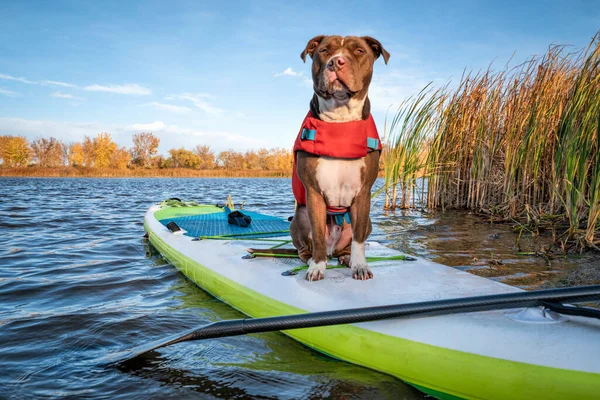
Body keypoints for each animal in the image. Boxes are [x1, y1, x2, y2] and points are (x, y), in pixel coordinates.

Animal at [290, 36, 390, 282]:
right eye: (324, 50)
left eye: (359, 51)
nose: (337, 62)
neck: (340, 119)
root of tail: (332, 250)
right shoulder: (314, 194)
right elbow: (317, 235)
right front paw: (317, 267)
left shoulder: (363, 194)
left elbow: (359, 239)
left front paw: (360, 266)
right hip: (299, 217)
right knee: (305, 247)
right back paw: (310, 260)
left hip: (365, 222)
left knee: (349, 243)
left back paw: (346, 258)